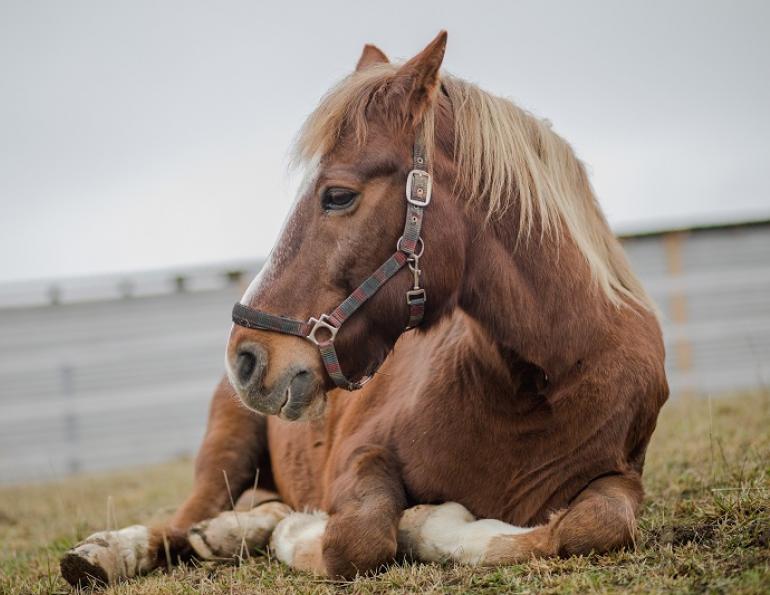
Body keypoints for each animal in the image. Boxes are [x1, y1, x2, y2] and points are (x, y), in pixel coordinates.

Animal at [61, 31, 668, 587]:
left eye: (337, 196)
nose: (246, 358)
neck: (539, 380)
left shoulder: (620, 475)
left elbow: (593, 526)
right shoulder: (360, 453)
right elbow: (359, 537)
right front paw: (317, 531)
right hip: (225, 449)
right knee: (179, 523)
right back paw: (111, 552)